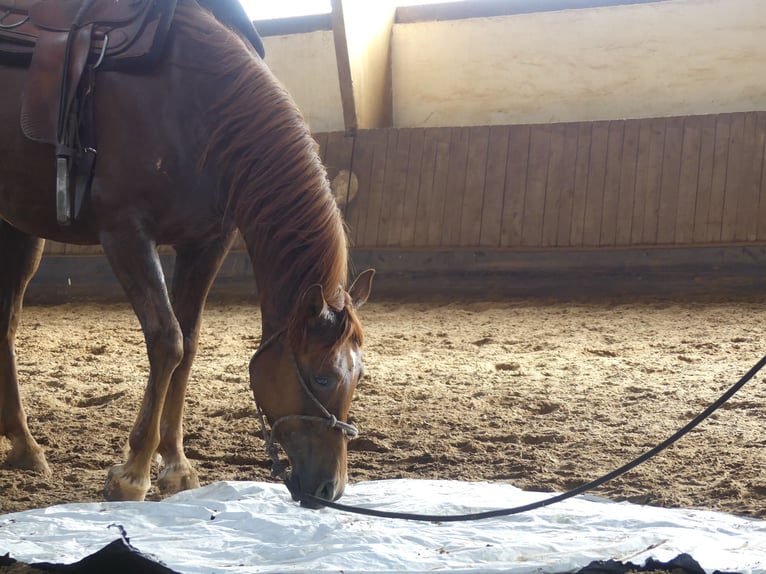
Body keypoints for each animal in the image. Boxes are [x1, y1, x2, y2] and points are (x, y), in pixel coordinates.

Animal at [0, 0, 376, 508]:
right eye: (321, 378)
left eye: (358, 377)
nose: (328, 489)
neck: (194, 103)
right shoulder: (125, 232)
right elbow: (167, 341)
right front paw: (134, 472)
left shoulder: (207, 241)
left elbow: (190, 344)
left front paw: (176, 465)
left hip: (19, 229)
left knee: (6, 326)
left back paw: (24, 446)